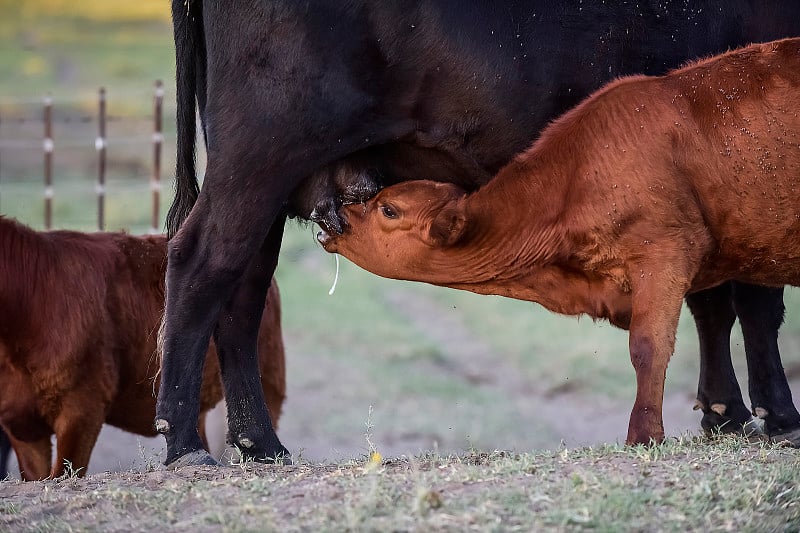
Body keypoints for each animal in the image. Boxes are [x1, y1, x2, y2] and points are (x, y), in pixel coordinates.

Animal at [158, 1, 800, 466]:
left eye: (391, 211)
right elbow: (755, 305)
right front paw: (776, 416)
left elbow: (715, 303)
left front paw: (726, 413)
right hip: (257, 164)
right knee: (198, 263)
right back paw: (186, 444)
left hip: (268, 191)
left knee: (241, 297)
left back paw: (259, 445)